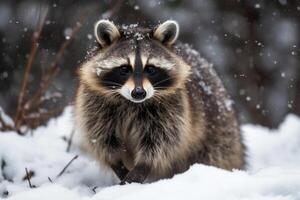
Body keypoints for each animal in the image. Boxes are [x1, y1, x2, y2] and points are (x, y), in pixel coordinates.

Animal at [74, 19, 244, 184]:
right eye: (124, 69)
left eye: (150, 69)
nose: (139, 93)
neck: (131, 103)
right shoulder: (94, 104)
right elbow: (102, 139)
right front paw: (118, 164)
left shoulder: (173, 108)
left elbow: (161, 141)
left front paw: (142, 167)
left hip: (218, 130)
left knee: (216, 154)